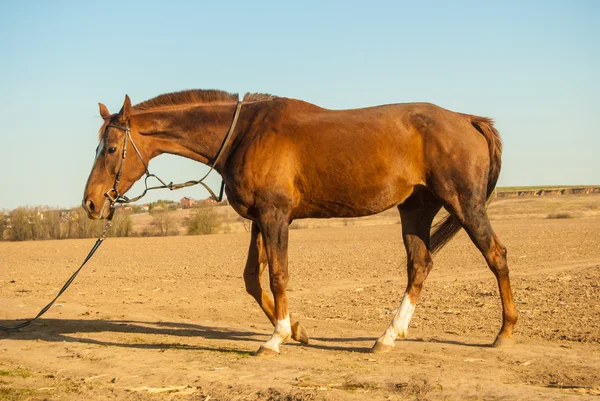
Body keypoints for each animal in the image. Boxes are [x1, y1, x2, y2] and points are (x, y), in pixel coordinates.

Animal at [82, 89, 516, 354]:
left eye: (112, 148)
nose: (90, 202)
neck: (243, 134)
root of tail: (467, 119)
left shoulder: (275, 217)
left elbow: (278, 275)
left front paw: (276, 338)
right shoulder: (259, 220)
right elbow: (253, 279)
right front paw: (297, 330)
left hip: (464, 204)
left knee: (496, 255)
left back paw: (505, 331)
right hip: (415, 209)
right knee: (420, 265)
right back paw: (388, 336)